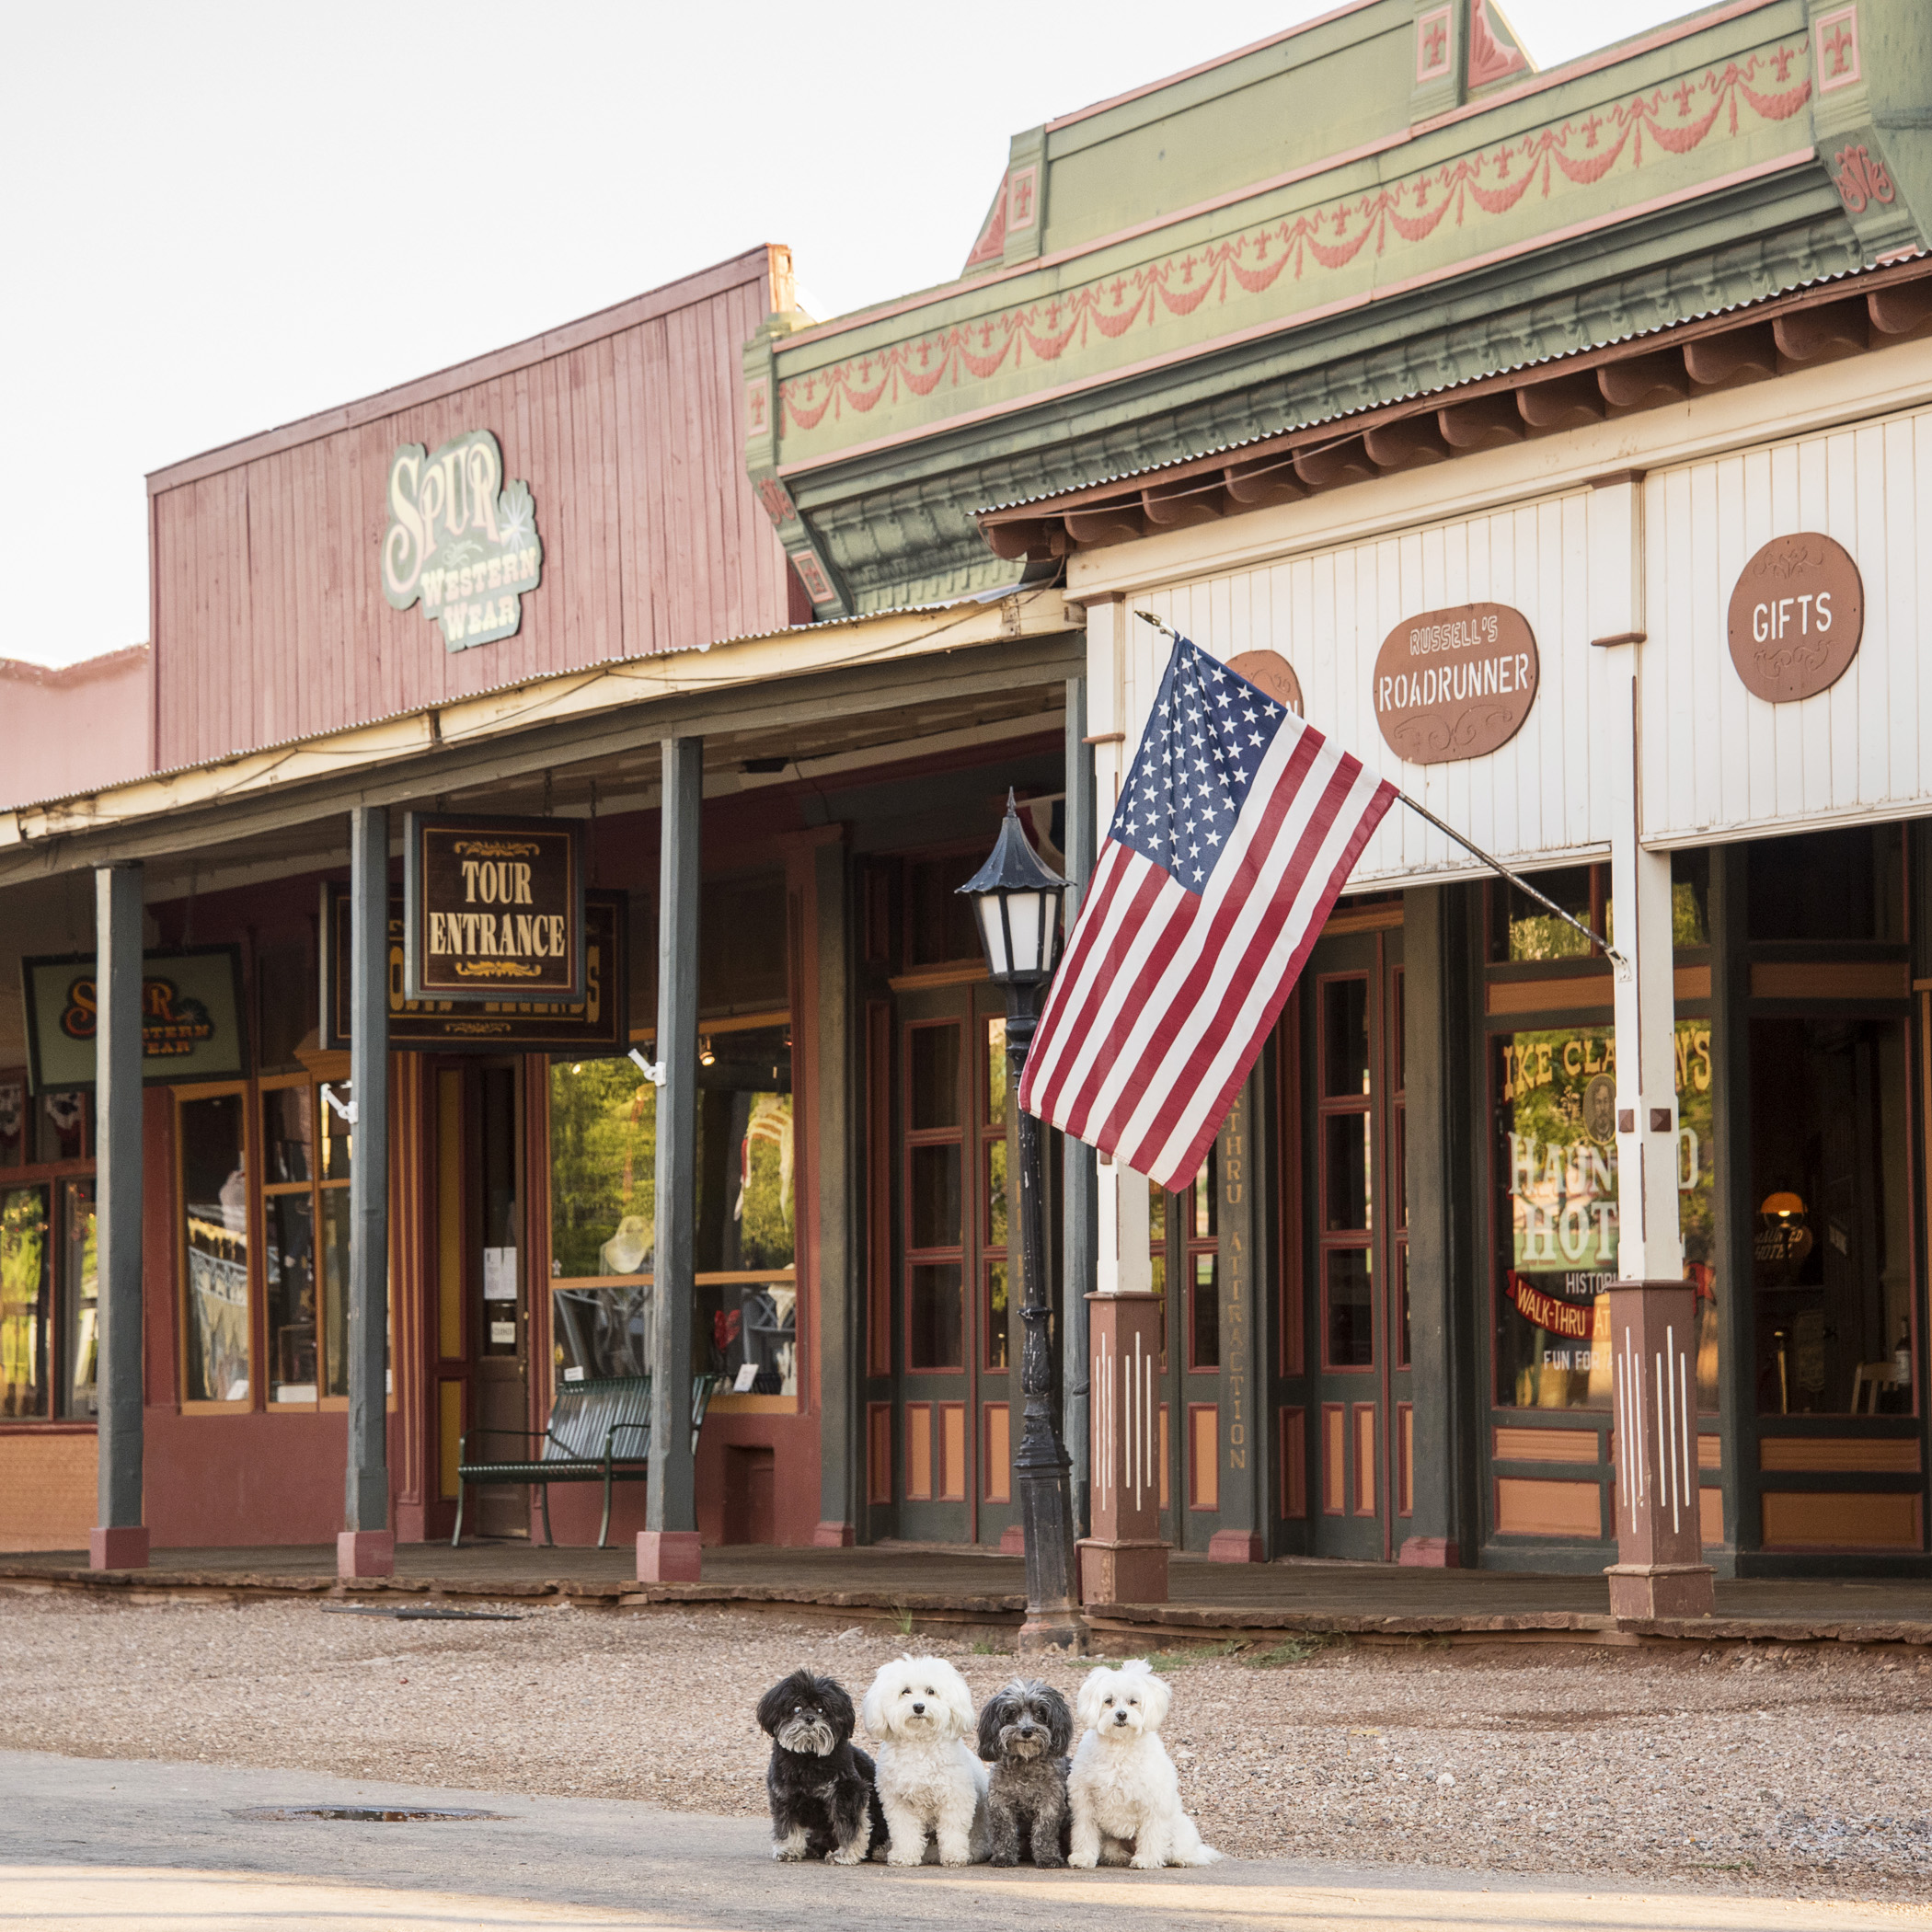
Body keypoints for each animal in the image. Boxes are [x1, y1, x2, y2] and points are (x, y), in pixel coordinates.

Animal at [753, 1669, 888, 1862]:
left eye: (821, 1709)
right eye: (797, 1708)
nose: (810, 1718)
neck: (808, 1758)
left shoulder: (847, 1793)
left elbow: (850, 1828)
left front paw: (846, 1854)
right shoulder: (784, 1797)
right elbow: (787, 1827)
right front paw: (788, 1849)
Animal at [861, 1653, 989, 1862]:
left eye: (931, 1691)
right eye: (905, 1691)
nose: (919, 1707)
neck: (920, 1743)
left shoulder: (955, 1797)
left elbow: (953, 1829)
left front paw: (954, 1855)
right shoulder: (898, 1801)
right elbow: (904, 1831)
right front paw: (904, 1855)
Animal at [973, 1685, 1082, 1862]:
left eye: (1040, 1712)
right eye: (1011, 1713)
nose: (1026, 1731)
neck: (1026, 1762)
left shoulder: (1050, 1802)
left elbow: (1044, 1832)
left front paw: (1047, 1856)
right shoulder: (1000, 1800)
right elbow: (1004, 1831)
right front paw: (1003, 1856)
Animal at [1066, 1653, 1213, 1862]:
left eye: (1133, 1701)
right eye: (1108, 1701)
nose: (1121, 1714)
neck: (1120, 1746)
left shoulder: (1153, 1802)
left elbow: (1152, 1832)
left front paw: (1147, 1859)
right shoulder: (1085, 1800)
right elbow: (1085, 1830)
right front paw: (1083, 1856)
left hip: (1178, 1831)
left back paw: (1181, 1858)